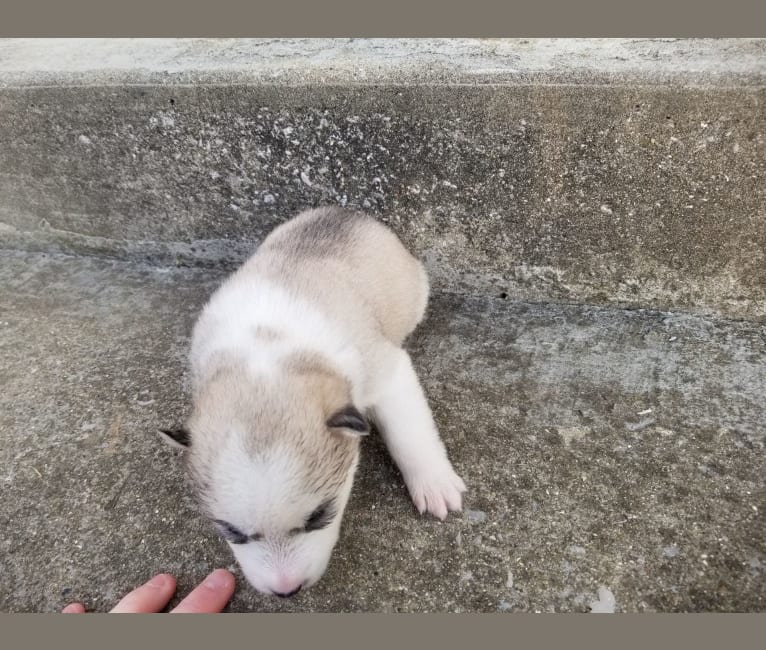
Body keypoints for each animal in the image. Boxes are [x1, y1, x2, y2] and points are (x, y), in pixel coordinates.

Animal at [159, 209, 464, 596]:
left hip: (415, 289)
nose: (286, 591)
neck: (265, 353)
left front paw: (434, 483)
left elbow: (409, 435)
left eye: (320, 516)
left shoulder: (389, 374)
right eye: (232, 532)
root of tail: (348, 212)